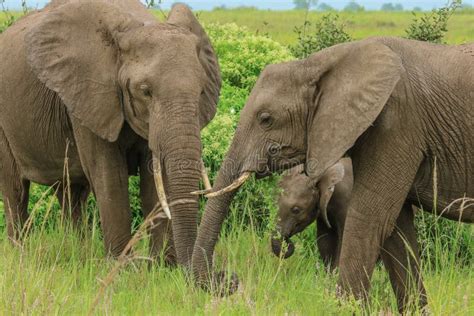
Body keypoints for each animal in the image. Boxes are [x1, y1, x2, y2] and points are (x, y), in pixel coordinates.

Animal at [191, 37, 472, 312]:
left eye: (266, 118)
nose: (228, 279)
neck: (319, 63)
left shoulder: (397, 124)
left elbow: (370, 217)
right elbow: (396, 229)